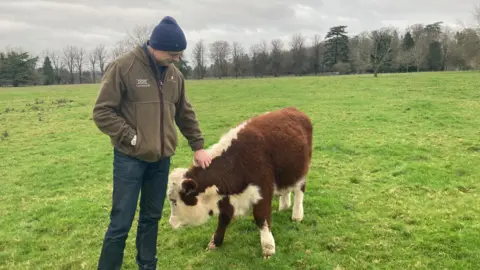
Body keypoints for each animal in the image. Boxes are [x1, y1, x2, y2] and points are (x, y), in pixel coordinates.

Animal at [167, 106, 314, 258]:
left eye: (174, 201)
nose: (171, 223)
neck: (236, 161)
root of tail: (293, 110)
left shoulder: (263, 191)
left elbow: (261, 217)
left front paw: (268, 247)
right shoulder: (227, 197)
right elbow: (224, 218)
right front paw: (215, 242)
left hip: (302, 170)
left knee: (299, 192)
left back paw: (297, 215)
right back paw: (284, 206)